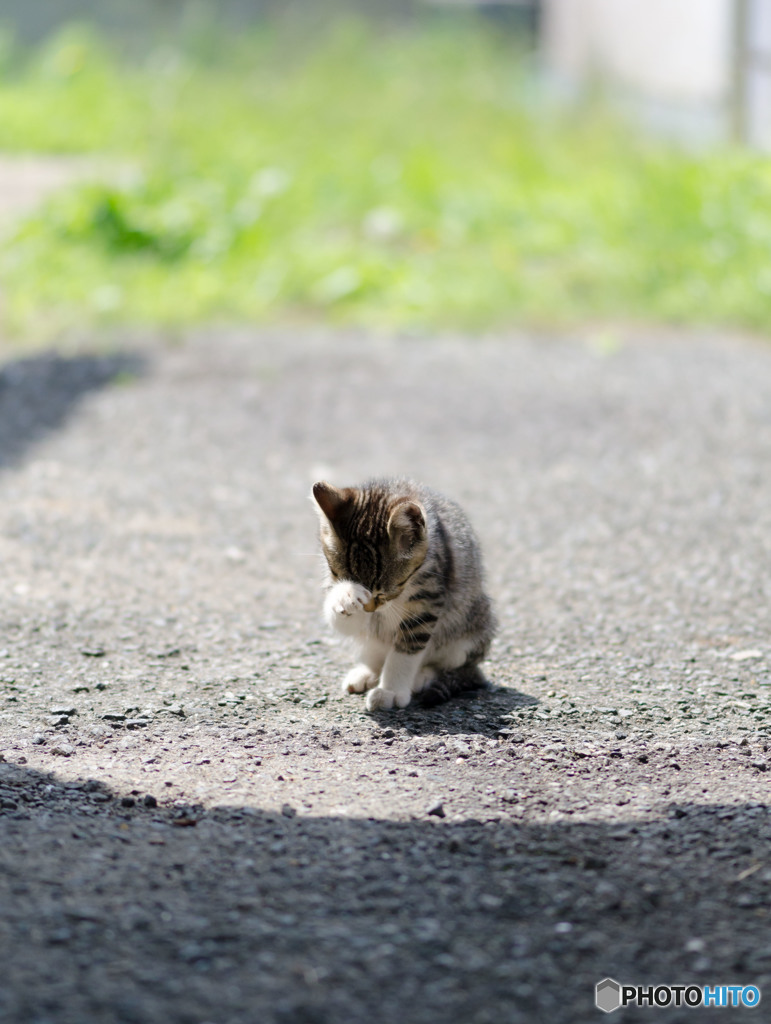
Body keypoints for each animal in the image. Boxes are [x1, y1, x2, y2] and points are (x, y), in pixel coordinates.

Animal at [311, 479, 495, 712]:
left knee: (457, 666)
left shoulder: (428, 602)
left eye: (388, 589)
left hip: (470, 627)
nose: (370, 609)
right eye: (337, 575)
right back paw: (366, 673)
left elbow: (406, 651)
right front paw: (346, 595)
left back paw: (424, 676)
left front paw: (390, 690)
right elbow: (345, 621)